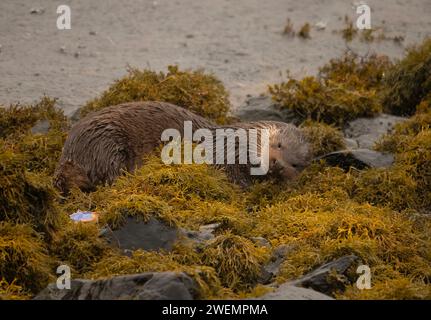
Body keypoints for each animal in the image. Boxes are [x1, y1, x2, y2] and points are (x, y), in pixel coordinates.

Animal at [54, 101, 312, 194]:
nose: (276, 164)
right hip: (107, 142)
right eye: (277, 144)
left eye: (295, 163)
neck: (237, 142)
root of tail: (69, 153)